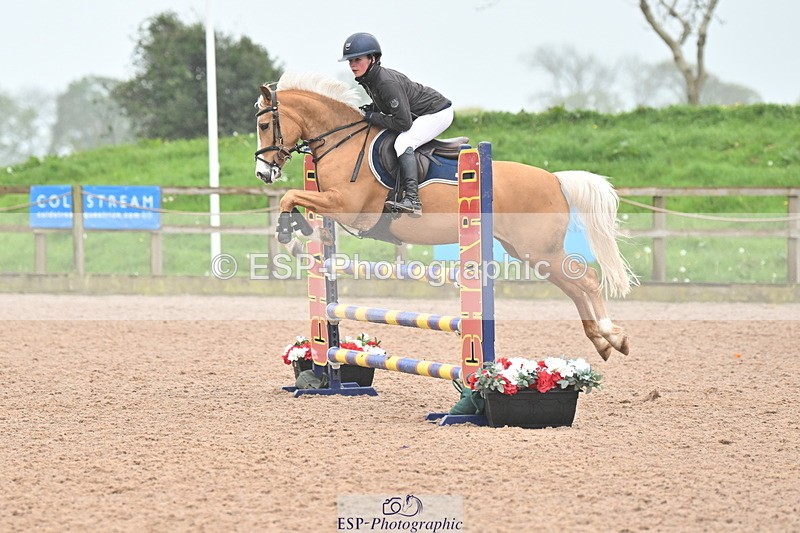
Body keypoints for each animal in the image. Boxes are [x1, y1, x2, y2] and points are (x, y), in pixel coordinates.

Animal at [254, 71, 636, 361]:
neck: (341, 141)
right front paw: (305, 238)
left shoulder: (347, 205)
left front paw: (292, 236)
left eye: (264, 124)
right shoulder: (334, 204)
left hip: (539, 250)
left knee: (587, 280)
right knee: (574, 287)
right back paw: (602, 341)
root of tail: (555, 179)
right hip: (530, 252)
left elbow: (291, 197)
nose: (263, 173)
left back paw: (612, 335)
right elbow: (300, 205)